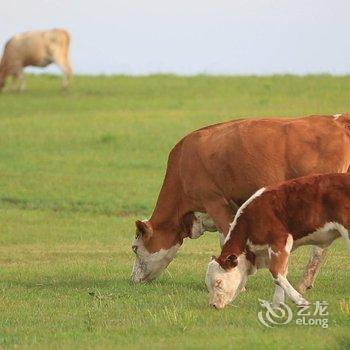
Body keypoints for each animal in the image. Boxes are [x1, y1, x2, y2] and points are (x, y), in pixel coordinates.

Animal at [131, 115, 350, 290]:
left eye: (134, 248)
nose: (132, 279)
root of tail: (336, 120)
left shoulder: (215, 202)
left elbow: (228, 239)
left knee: (318, 249)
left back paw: (303, 285)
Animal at [205, 173, 350, 308]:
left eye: (218, 282)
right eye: (208, 285)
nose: (213, 305)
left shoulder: (279, 240)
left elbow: (276, 272)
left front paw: (300, 300)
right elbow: (282, 274)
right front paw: (277, 305)